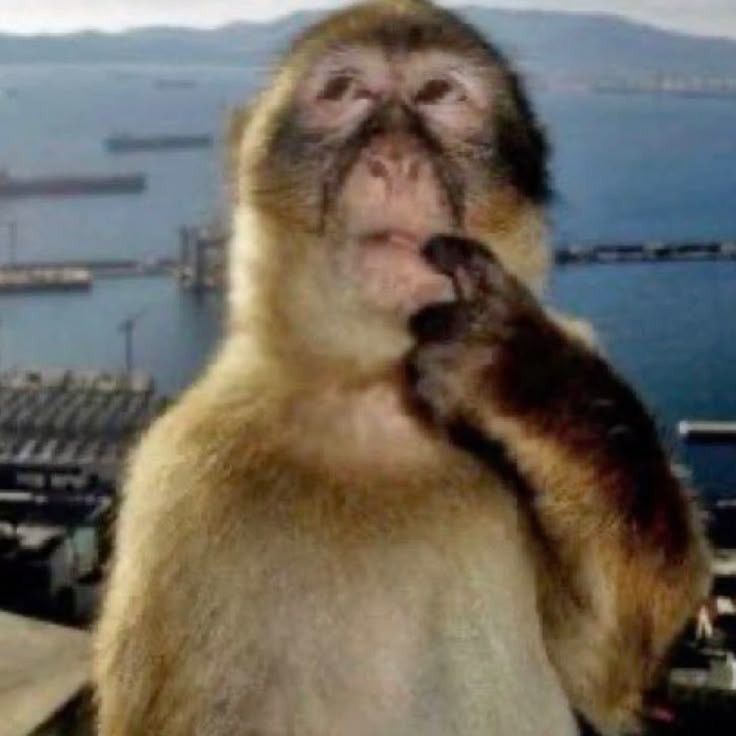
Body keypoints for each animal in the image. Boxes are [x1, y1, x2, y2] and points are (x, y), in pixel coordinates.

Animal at [93, 2, 711, 735]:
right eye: (344, 91)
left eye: (440, 94)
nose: (394, 160)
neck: (374, 402)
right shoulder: (178, 484)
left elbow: (608, 665)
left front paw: (522, 375)